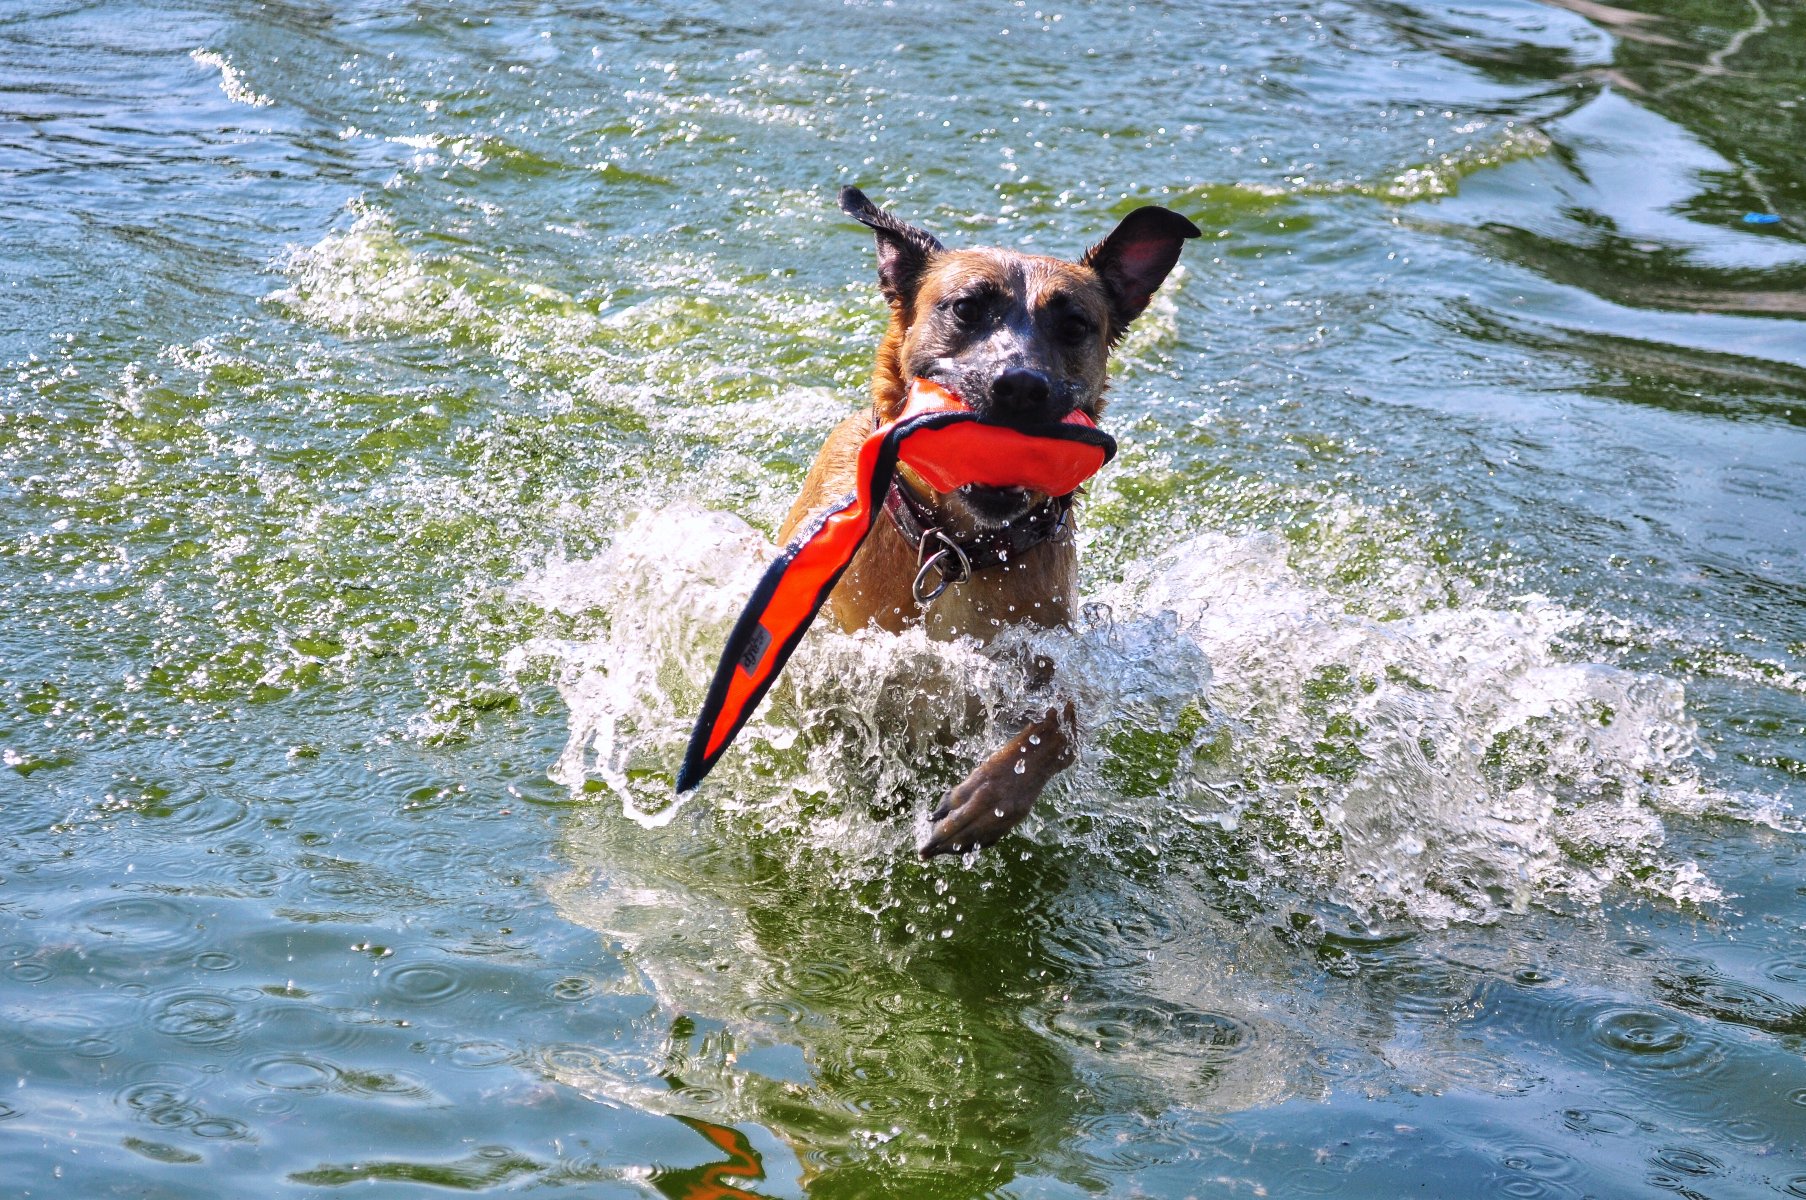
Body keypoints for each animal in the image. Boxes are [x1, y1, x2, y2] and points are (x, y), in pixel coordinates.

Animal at [780, 187, 1191, 856]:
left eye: (1074, 325)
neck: (956, 550)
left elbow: (1061, 724)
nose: (1019, 385)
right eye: (967, 308)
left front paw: (985, 804)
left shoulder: (1036, 659)